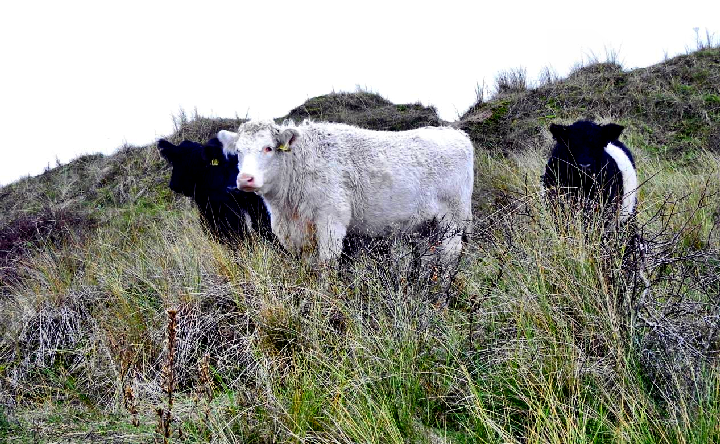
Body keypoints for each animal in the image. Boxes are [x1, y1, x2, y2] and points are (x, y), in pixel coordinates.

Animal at [219, 119, 478, 266]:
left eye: (268, 148)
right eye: (238, 151)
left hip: (452, 220)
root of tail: (456, 134)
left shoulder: (331, 220)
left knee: (448, 256)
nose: (245, 179)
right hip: (427, 226)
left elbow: (327, 264)